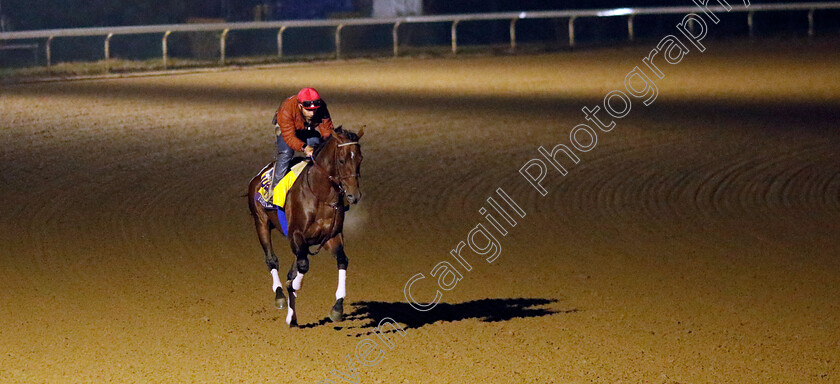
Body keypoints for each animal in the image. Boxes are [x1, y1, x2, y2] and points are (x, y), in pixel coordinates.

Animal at [243, 127, 360, 326]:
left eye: (360, 159)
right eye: (342, 160)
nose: (354, 195)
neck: (320, 195)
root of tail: (259, 175)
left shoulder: (331, 236)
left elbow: (342, 260)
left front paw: (337, 308)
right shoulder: (297, 236)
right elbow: (302, 267)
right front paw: (294, 288)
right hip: (261, 222)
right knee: (272, 259)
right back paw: (280, 296)